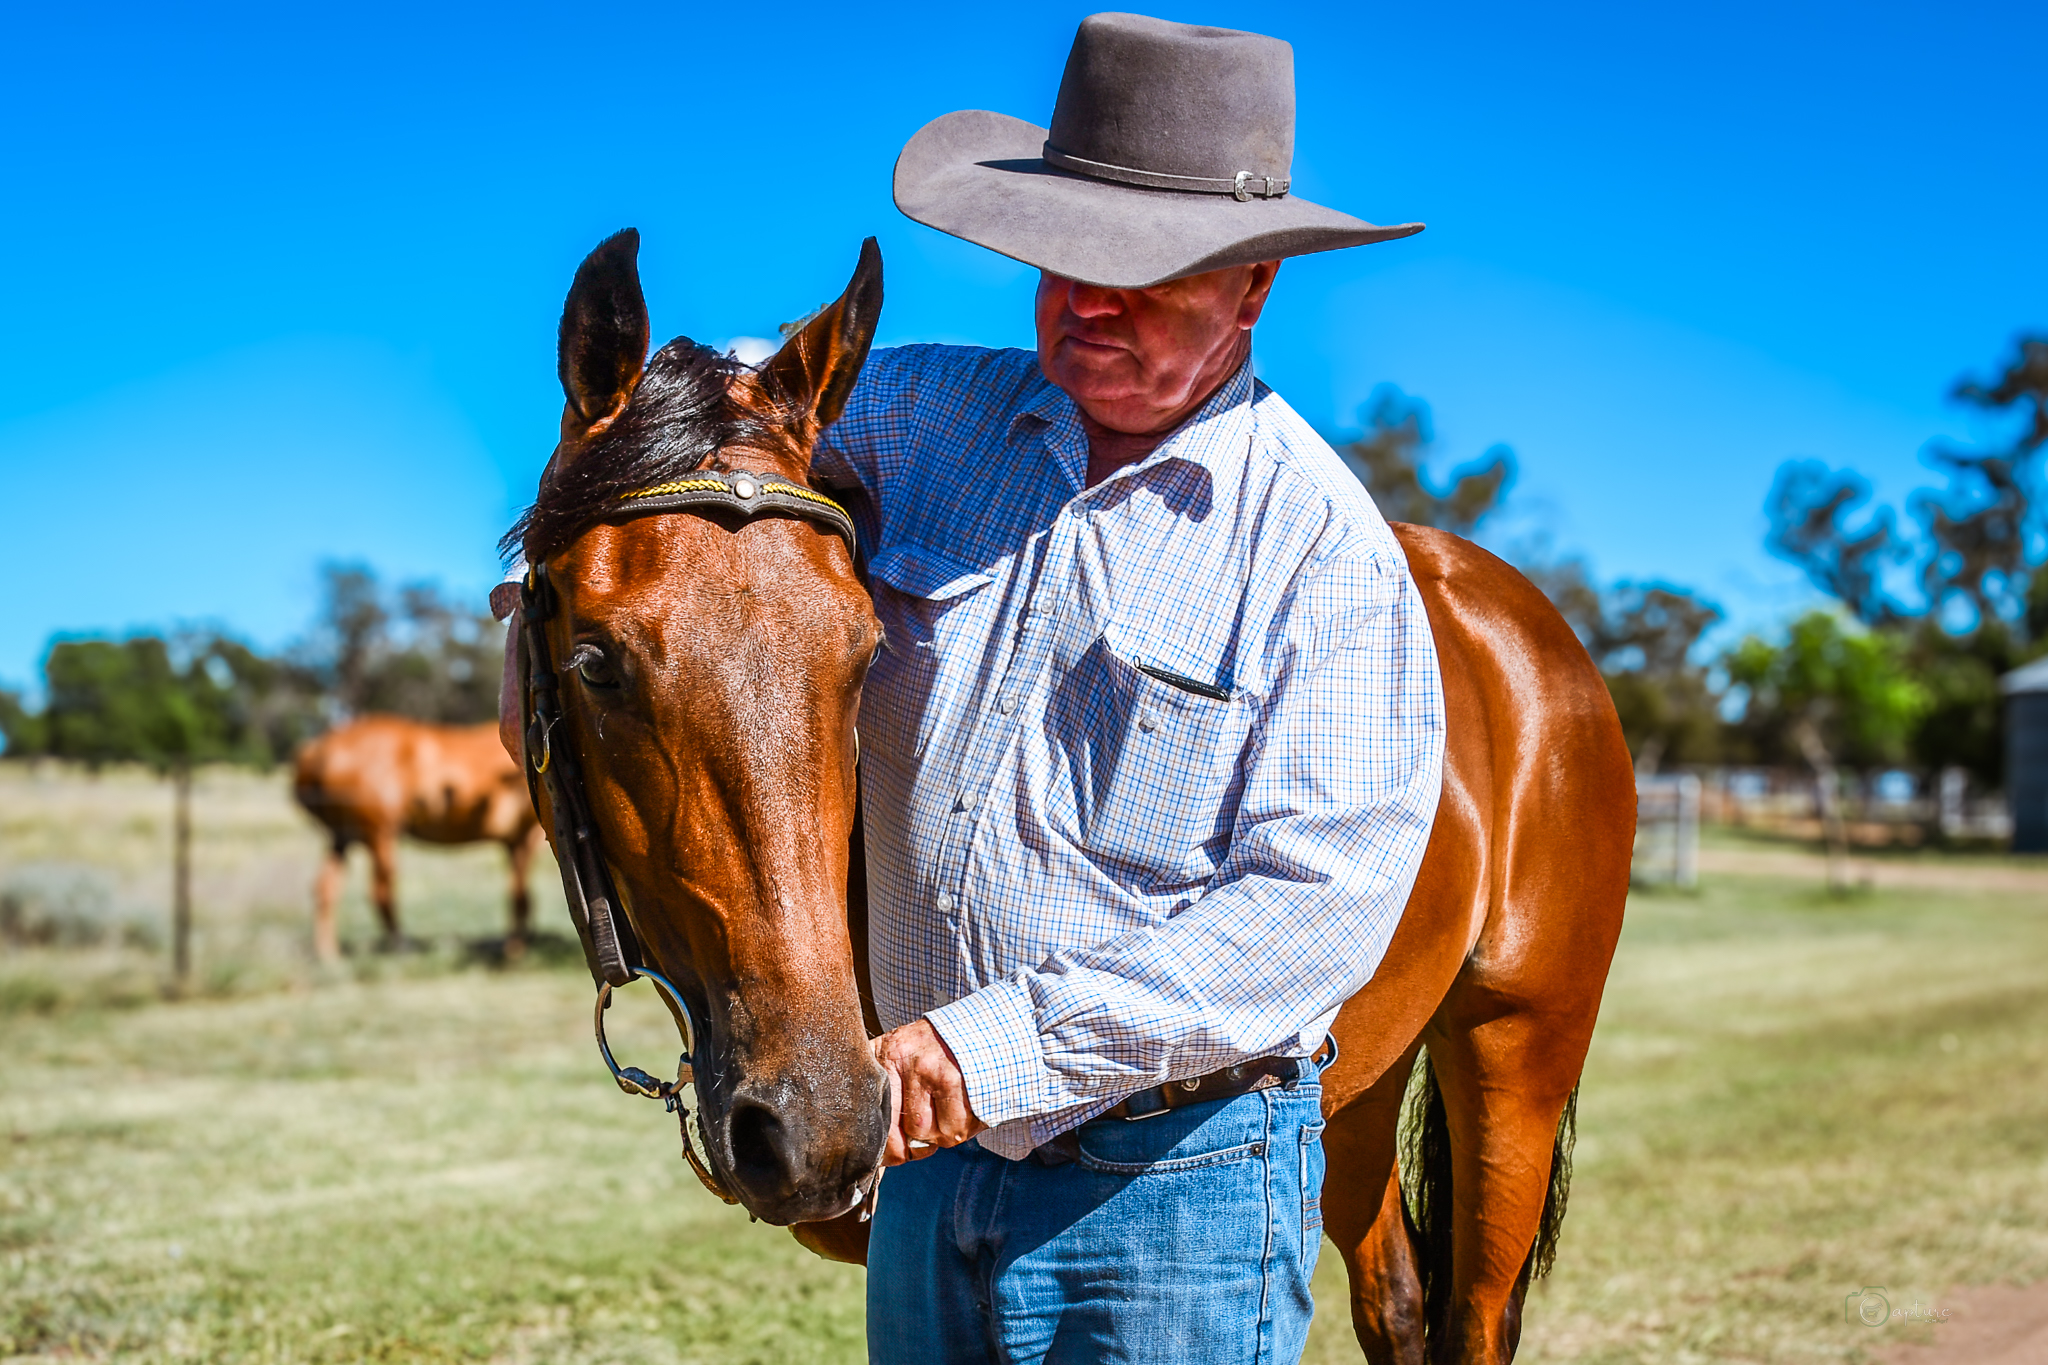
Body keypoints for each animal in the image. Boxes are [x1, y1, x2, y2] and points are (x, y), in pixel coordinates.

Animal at [292, 716, 543, 961]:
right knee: (381, 892)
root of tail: (319, 749)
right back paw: (400, 946)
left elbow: (519, 895)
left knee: (325, 888)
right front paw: (515, 949)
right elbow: (521, 897)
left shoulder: (514, 842)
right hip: (379, 836)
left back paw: (328, 954)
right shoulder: (526, 838)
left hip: (341, 838)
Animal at [509, 229, 1633, 1363]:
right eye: (596, 662)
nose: (819, 1119)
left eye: (864, 651)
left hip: (1516, 1056)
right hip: (1355, 1092)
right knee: (1397, 1301)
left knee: (1474, 1311)